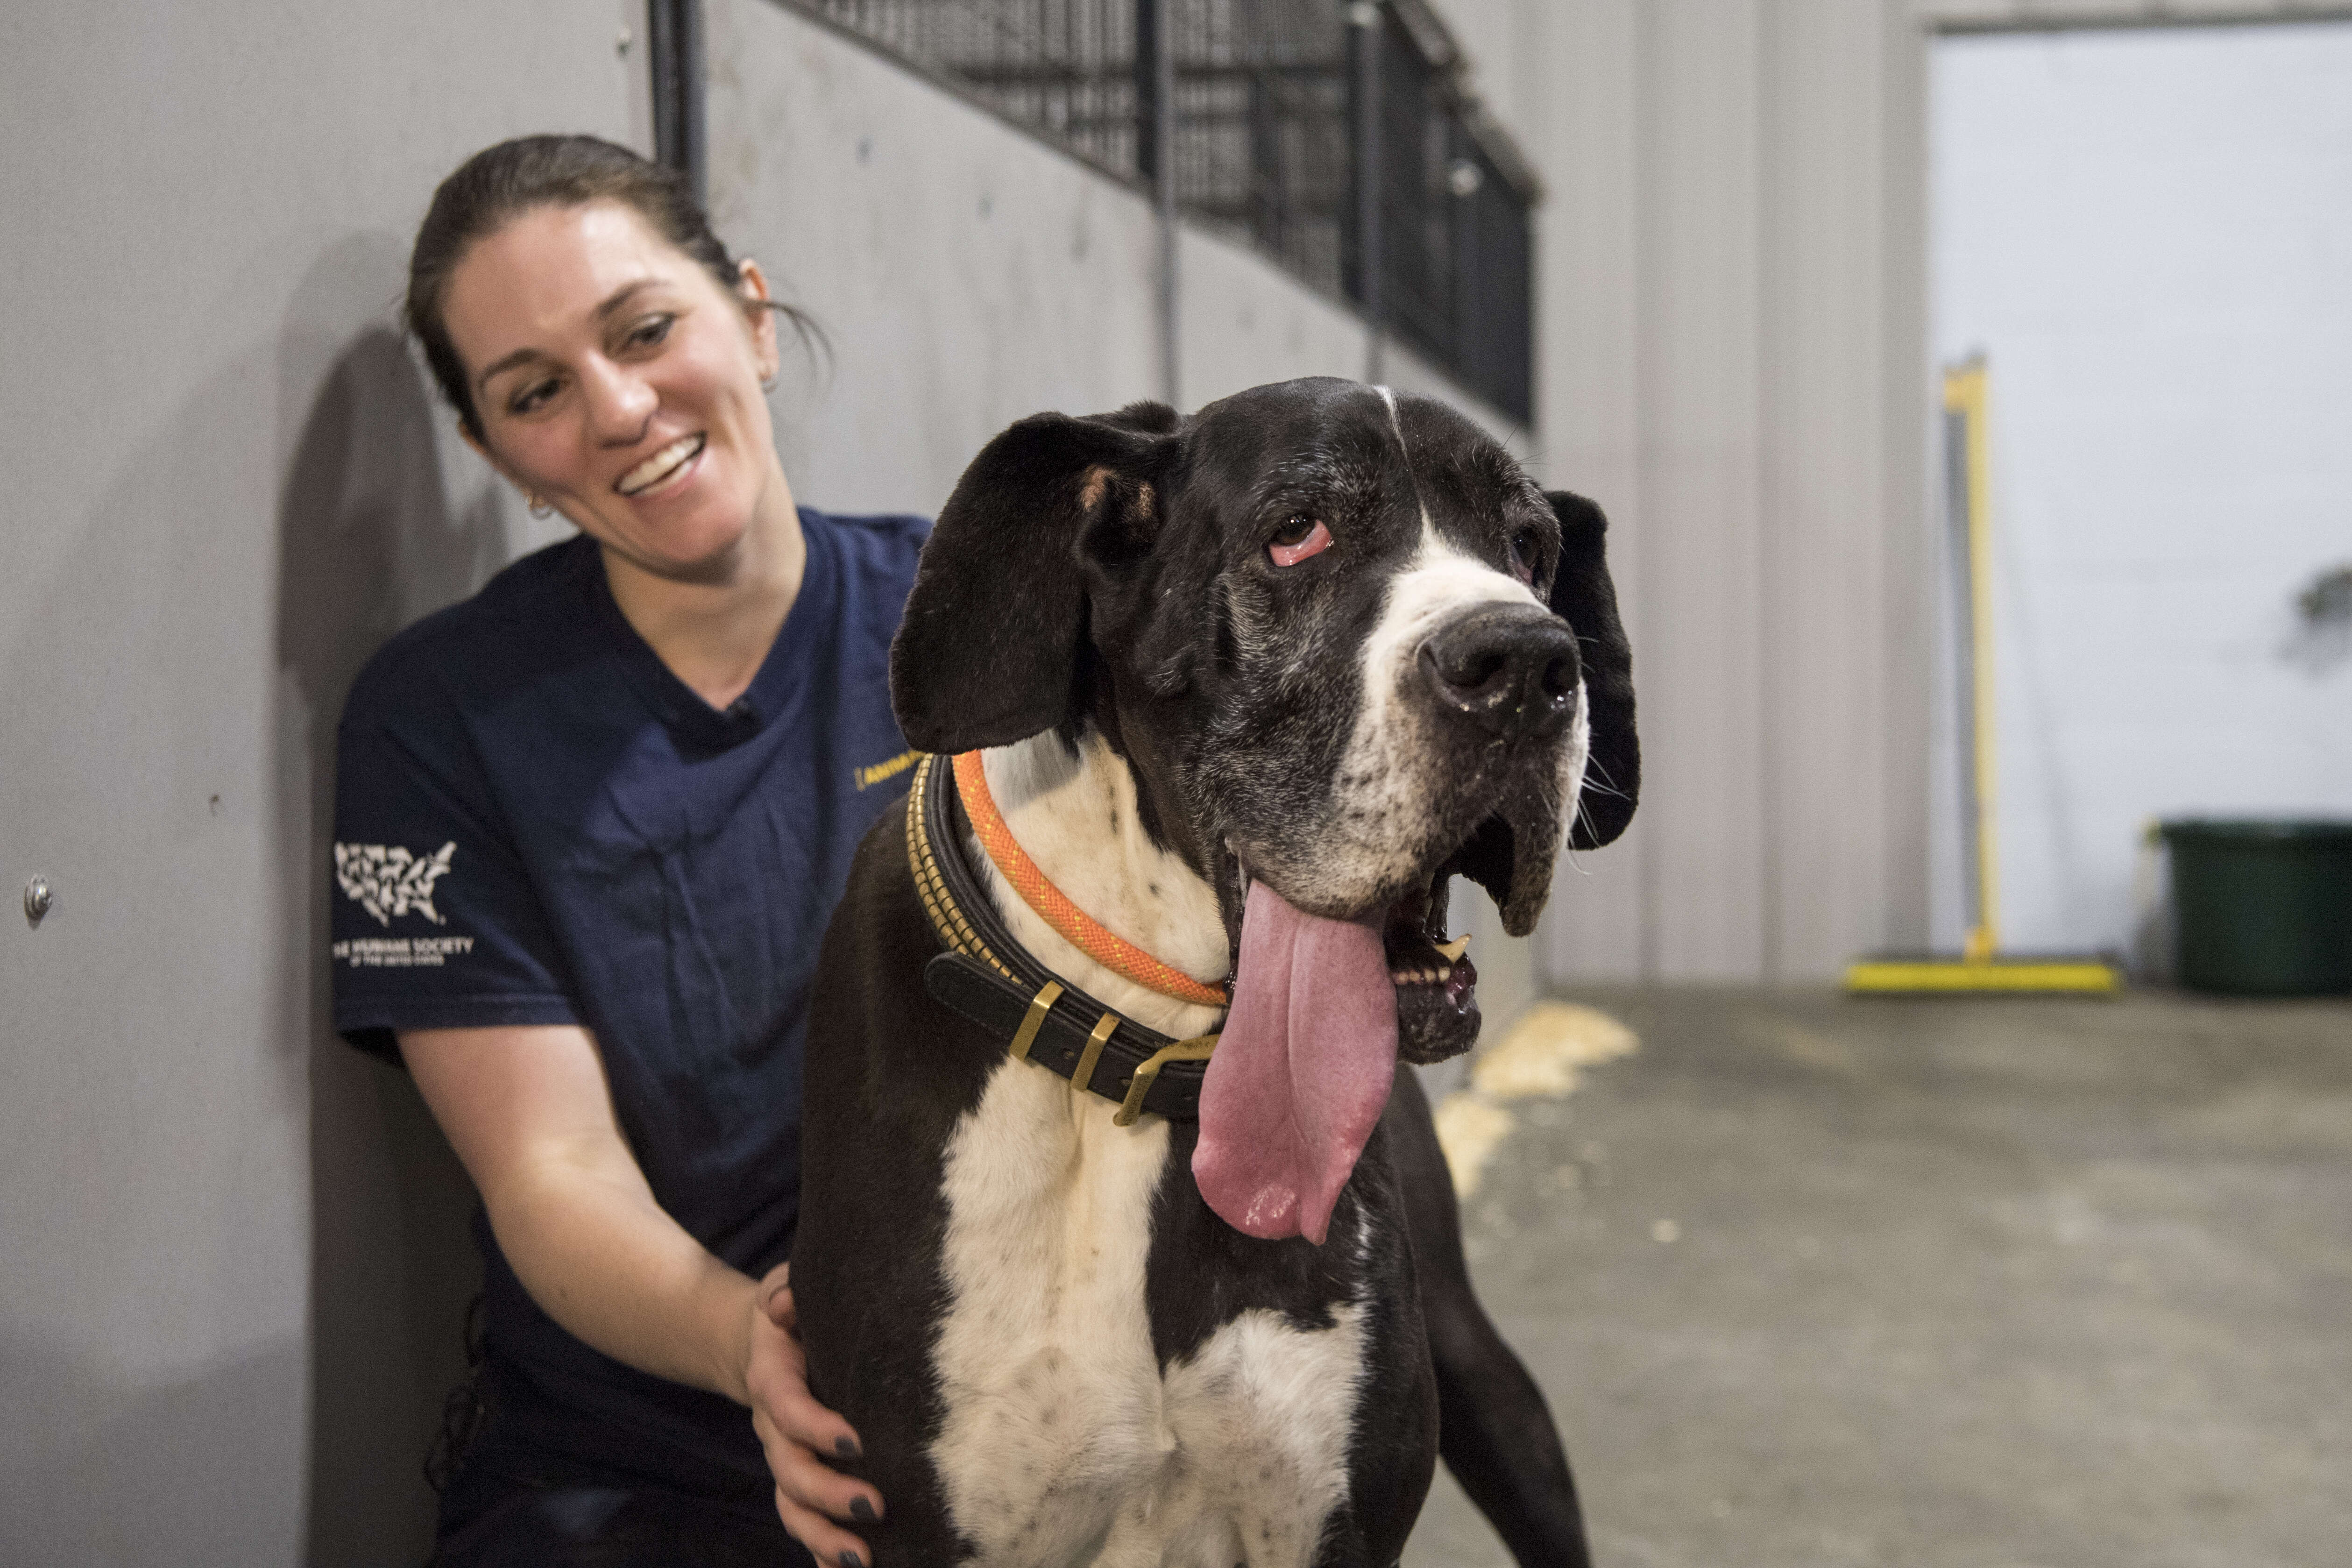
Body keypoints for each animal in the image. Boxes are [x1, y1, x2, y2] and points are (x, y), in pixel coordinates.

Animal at [790, 376, 1637, 1568]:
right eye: (1297, 531)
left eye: (1530, 546)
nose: (1525, 665)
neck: (1136, 1043)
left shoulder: (1330, 1517)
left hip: (1485, 1378)